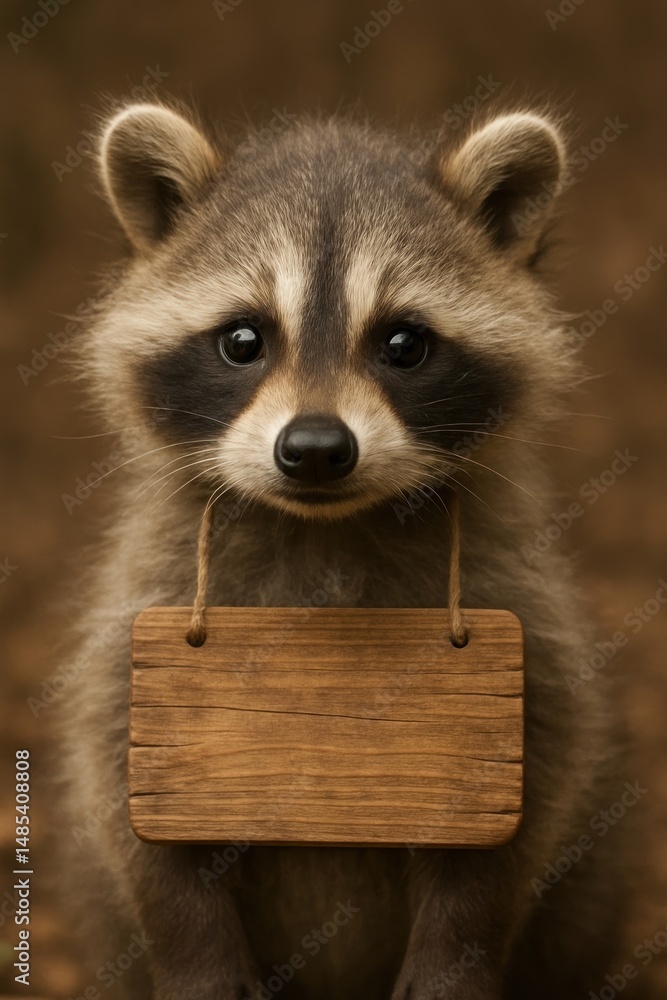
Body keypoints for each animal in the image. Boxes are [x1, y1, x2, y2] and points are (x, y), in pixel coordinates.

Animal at [59, 101, 634, 1000]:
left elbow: (523, 794)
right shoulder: (140, 602)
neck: (322, 526)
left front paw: (453, 956)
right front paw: (195, 954)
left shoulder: (521, 608)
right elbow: (125, 790)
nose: (316, 449)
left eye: (403, 345)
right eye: (243, 340)